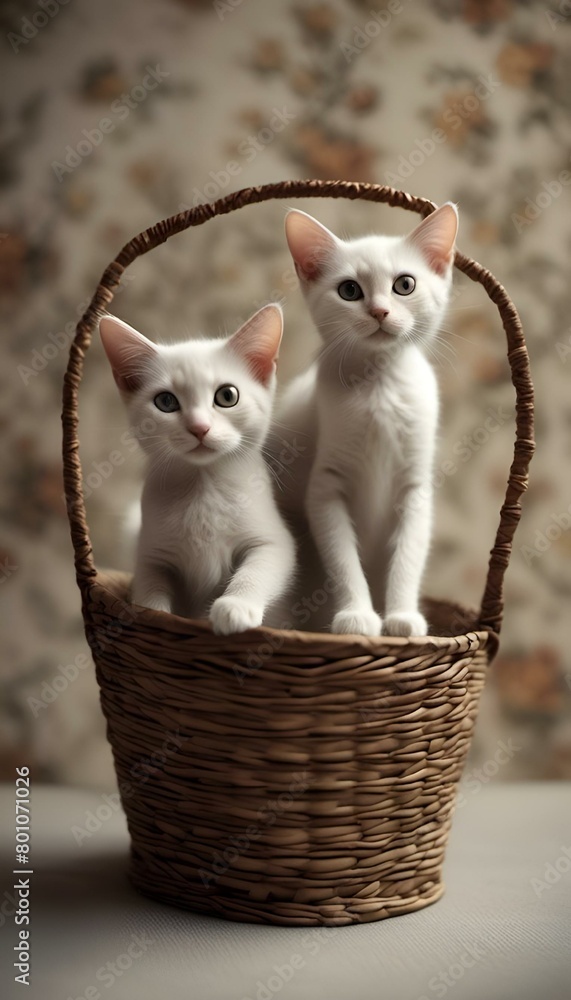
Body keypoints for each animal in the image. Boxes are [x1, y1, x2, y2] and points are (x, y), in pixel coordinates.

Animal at [99, 302, 294, 632]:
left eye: (227, 396)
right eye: (165, 401)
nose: (199, 427)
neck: (204, 488)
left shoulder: (274, 539)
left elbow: (261, 565)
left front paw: (235, 606)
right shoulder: (150, 552)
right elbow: (149, 586)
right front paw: (154, 615)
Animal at [272, 205, 460, 640]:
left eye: (404, 284)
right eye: (349, 291)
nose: (379, 311)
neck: (379, 387)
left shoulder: (415, 488)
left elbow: (409, 556)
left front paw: (403, 616)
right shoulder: (325, 487)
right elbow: (342, 558)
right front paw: (357, 615)